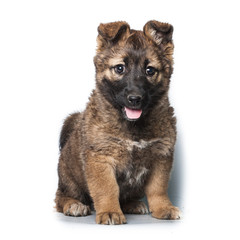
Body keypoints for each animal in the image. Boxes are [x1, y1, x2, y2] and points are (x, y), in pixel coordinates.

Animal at [54, 20, 180, 225]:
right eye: (120, 68)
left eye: (150, 70)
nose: (135, 99)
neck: (133, 126)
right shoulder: (101, 158)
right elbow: (107, 189)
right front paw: (110, 211)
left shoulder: (161, 156)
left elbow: (158, 188)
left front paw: (163, 208)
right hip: (69, 178)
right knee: (61, 197)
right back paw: (74, 205)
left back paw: (132, 204)